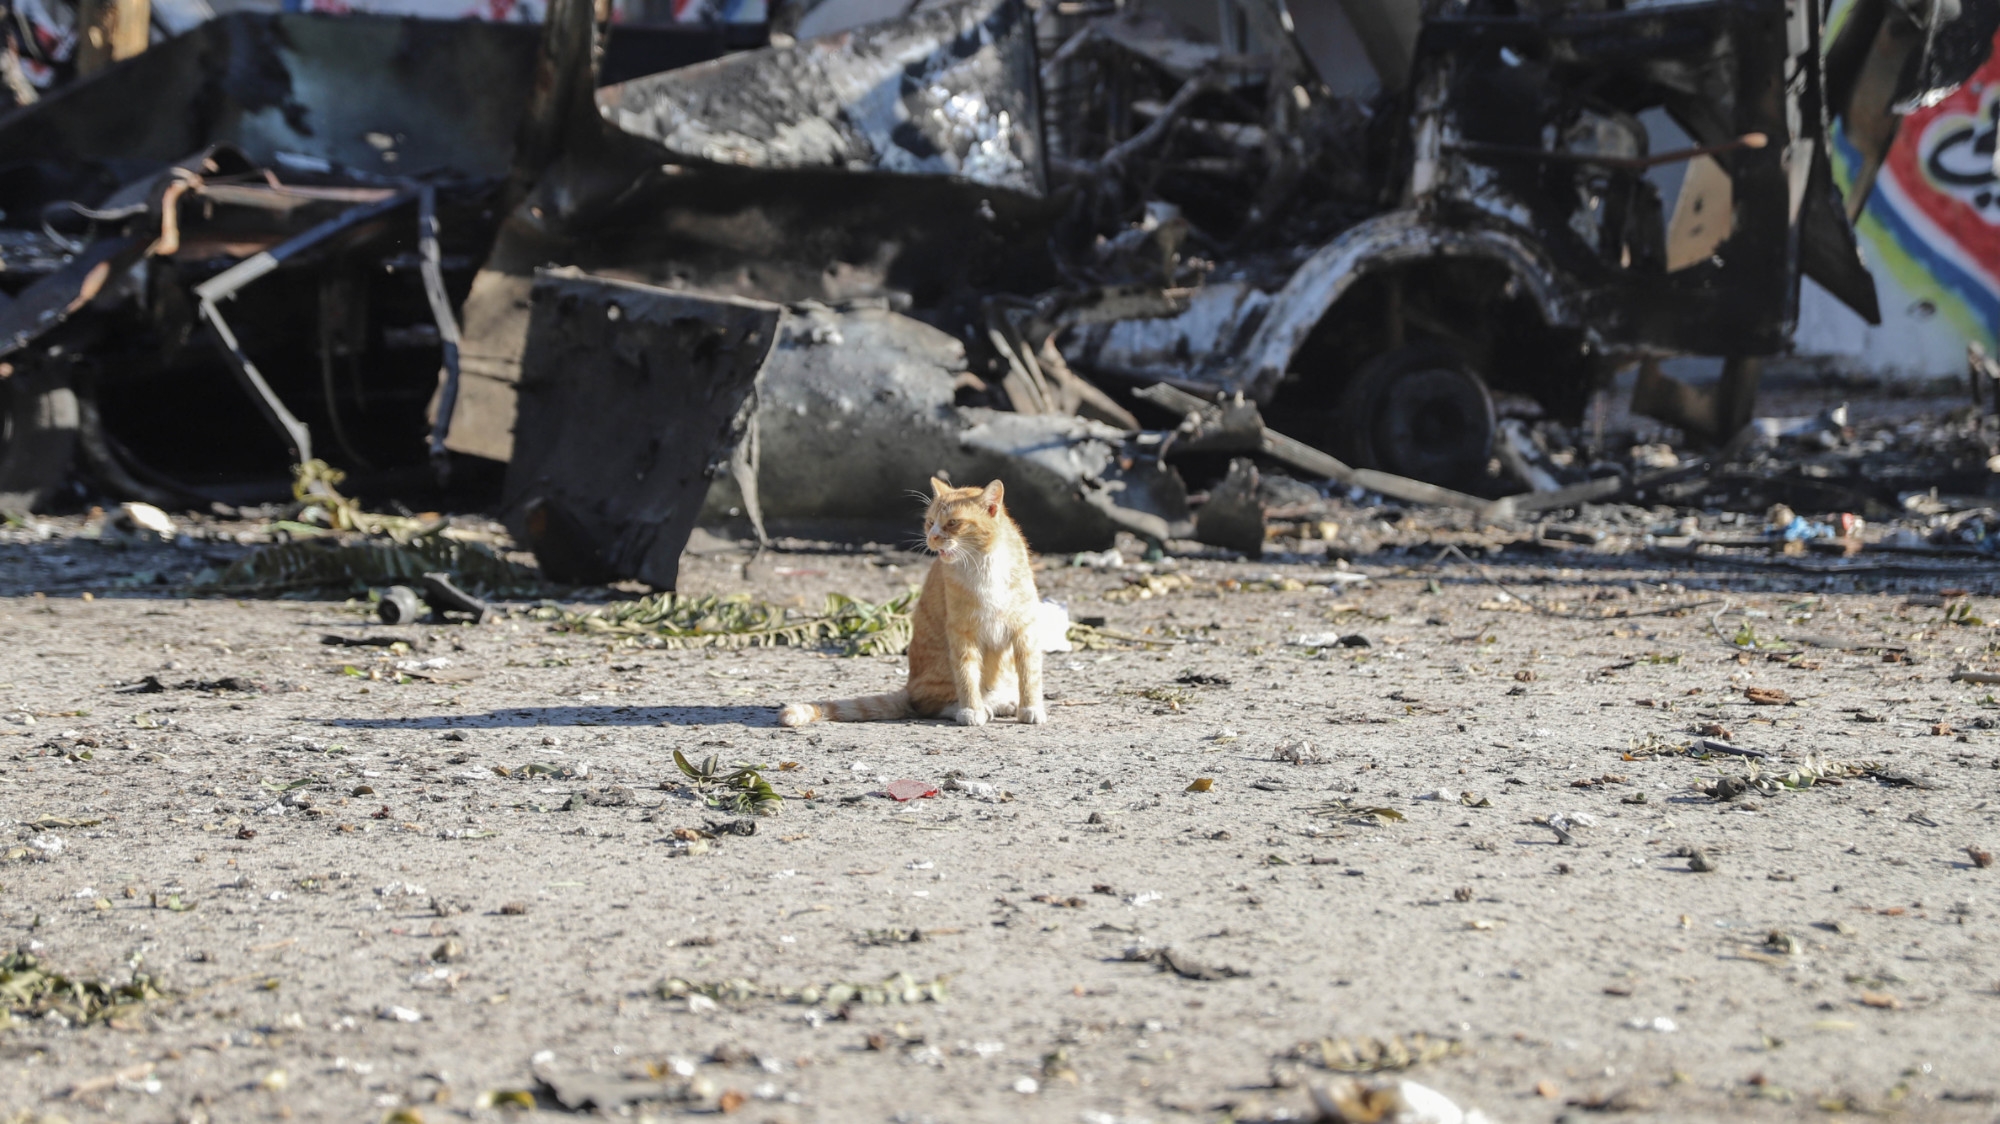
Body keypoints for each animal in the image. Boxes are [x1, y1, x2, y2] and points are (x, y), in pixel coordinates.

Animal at [780, 474, 1056, 728]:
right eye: (930, 522)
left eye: (953, 523)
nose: (932, 538)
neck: (984, 564)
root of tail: (909, 687)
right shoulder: (961, 632)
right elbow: (966, 674)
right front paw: (971, 710)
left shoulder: (1024, 629)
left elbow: (1029, 673)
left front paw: (1030, 708)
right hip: (937, 676)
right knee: (927, 704)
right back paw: (973, 707)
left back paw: (1005, 703)